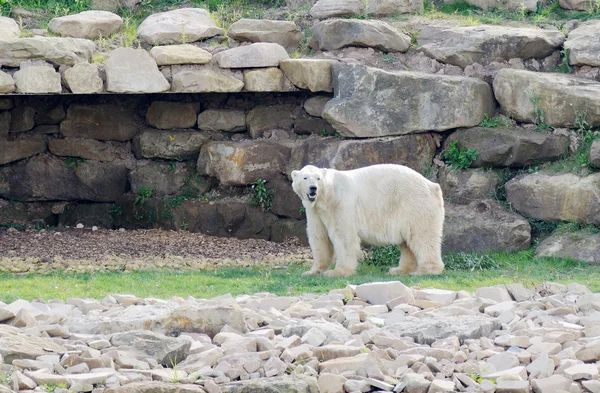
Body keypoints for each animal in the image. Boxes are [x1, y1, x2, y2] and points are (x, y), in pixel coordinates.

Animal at [290, 162, 446, 276]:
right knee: (407, 243)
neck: (326, 196)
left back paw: (426, 270)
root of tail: (433, 185)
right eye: (305, 178)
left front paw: (337, 272)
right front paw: (312, 271)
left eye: (318, 178)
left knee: (422, 237)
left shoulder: (341, 204)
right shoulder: (315, 212)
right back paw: (399, 270)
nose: (313, 188)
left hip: (415, 205)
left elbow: (344, 237)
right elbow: (319, 238)